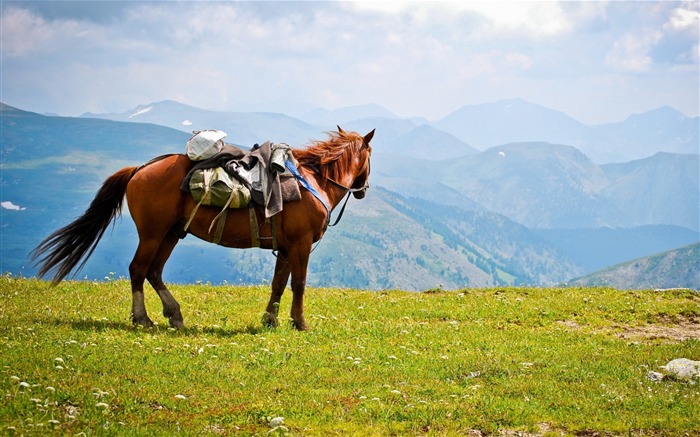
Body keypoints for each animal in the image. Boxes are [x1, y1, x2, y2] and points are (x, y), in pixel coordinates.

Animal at [30, 126, 374, 330]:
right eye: (370, 156)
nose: (363, 190)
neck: (315, 182)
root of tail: (139, 169)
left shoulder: (286, 248)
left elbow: (278, 284)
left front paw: (270, 321)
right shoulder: (301, 245)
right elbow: (298, 284)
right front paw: (299, 323)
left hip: (171, 233)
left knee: (154, 271)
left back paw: (175, 315)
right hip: (152, 234)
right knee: (138, 269)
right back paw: (143, 318)